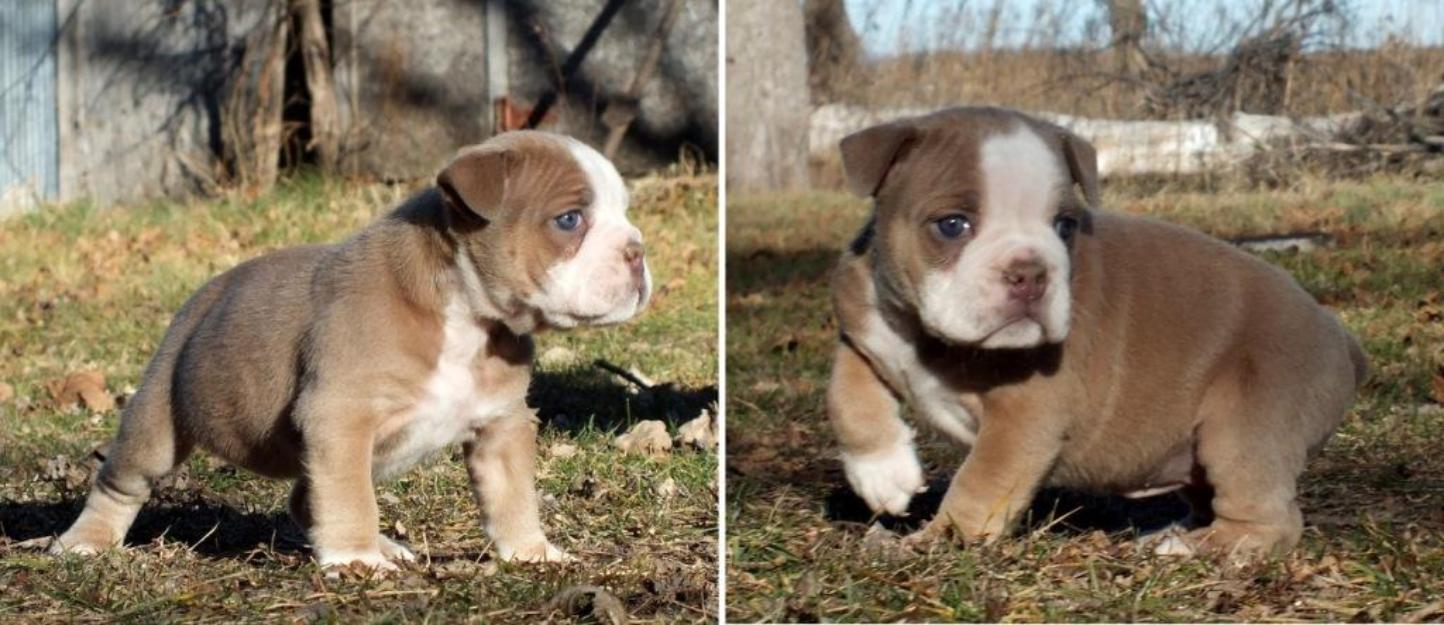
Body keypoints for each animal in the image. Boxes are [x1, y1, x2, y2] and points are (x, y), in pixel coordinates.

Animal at [49, 129, 649, 568]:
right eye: (569, 220)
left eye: (624, 212)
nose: (638, 250)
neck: (469, 315)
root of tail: (203, 296)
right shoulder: (340, 416)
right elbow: (350, 496)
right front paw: (356, 561)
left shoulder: (500, 425)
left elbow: (512, 496)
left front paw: (531, 552)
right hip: (158, 417)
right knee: (122, 482)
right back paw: (83, 542)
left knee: (308, 496)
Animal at [831, 106, 1368, 554]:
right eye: (952, 225)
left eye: (1065, 226)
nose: (1030, 272)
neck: (924, 335)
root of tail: (1339, 336)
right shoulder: (862, 333)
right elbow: (847, 396)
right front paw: (883, 474)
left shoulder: (1025, 419)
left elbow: (978, 485)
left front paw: (933, 543)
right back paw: (1172, 532)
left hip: (1245, 426)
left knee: (1268, 518)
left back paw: (1189, 549)